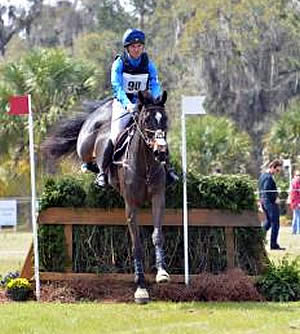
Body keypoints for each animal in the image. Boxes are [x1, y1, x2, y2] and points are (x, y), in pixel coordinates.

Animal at [44, 90, 171, 302]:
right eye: (146, 120)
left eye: (165, 120)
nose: (161, 152)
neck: (145, 163)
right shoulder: (130, 203)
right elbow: (136, 245)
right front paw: (141, 288)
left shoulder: (158, 197)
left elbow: (157, 235)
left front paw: (162, 273)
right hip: (85, 146)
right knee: (89, 158)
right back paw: (95, 172)